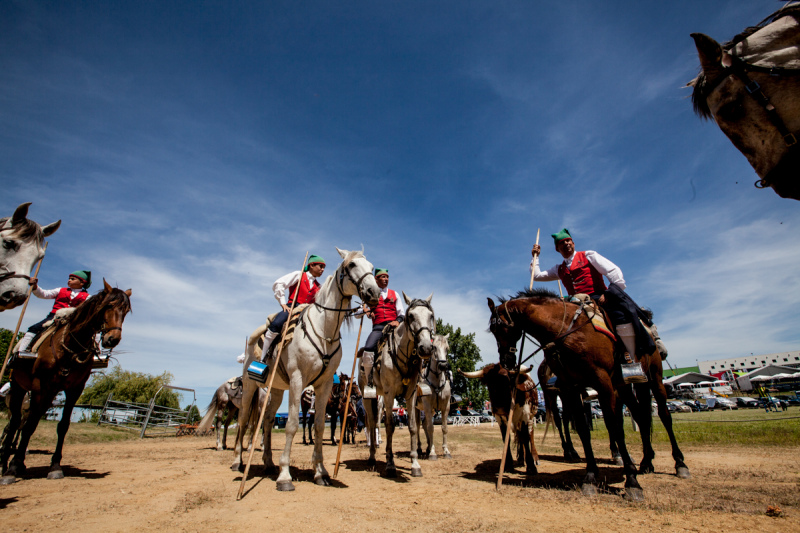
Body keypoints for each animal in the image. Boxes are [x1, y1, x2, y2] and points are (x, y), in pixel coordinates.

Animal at [0, 280, 131, 484]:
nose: (112, 339)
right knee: (14, 424)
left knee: (22, 423)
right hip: (19, 387)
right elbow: (28, 426)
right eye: (107, 306)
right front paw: (13, 468)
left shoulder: (74, 388)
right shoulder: (39, 385)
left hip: (47, 394)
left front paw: (54, 467)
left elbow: (62, 426)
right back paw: (7, 465)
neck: (70, 346)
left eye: (126, 311)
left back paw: (18, 464)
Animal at [233, 247, 380, 488]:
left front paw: (320, 472)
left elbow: (320, 425)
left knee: (267, 420)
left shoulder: (324, 384)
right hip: (250, 386)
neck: (324, 330)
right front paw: (285, 476)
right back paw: (238, 462)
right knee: (244, 419)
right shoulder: (297, 379)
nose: (374, 292)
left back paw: (268, 463)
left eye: (371, 267)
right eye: (351, 265)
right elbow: (293, 424)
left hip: (276, 389)